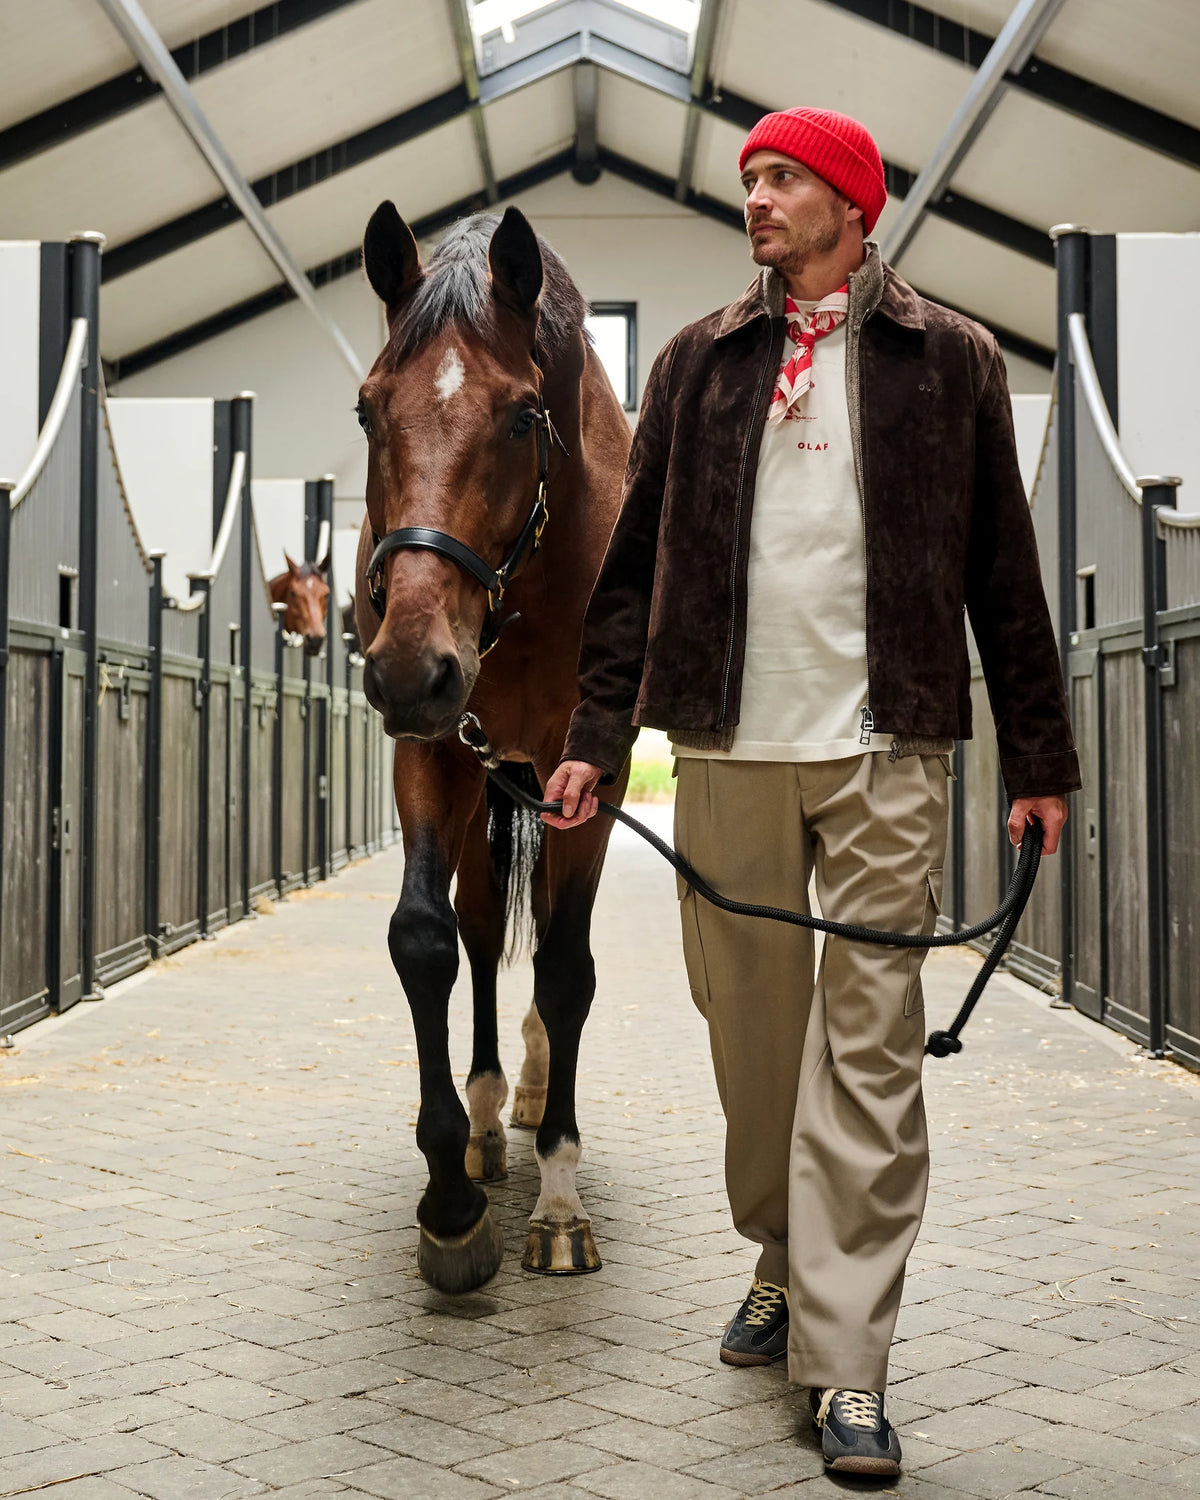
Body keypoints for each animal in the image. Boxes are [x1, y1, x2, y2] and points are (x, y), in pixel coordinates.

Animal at [353, 203, 632, 1293]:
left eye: (520, 417)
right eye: (367, 412)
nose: (408, 666)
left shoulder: (592, 770)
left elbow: (568, 968)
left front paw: (558, 1204)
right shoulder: (433, 750)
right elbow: (427, 939)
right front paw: (450, 1206)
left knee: (556, 940)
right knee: (479, 930)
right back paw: (481, 1120)